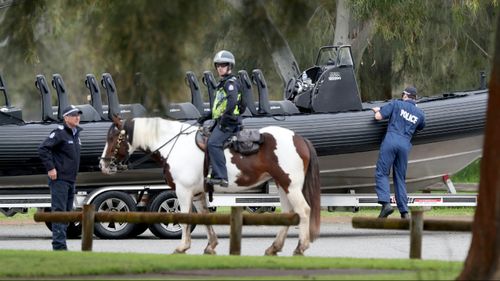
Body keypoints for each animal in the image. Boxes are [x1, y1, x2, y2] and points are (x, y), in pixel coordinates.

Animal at [99, 115, 322, 255]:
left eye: (113, 138)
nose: (103, 165)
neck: (174, 145)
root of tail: (299, 138)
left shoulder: (183, 191)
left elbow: (185, 218)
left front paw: (182, 247)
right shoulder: (198, 193)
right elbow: (204, 218)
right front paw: (210, 246)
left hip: (290, 185)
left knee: (303, 211)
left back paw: (300, 247)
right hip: (283, 185)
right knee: (288, 214)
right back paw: (274, 248)